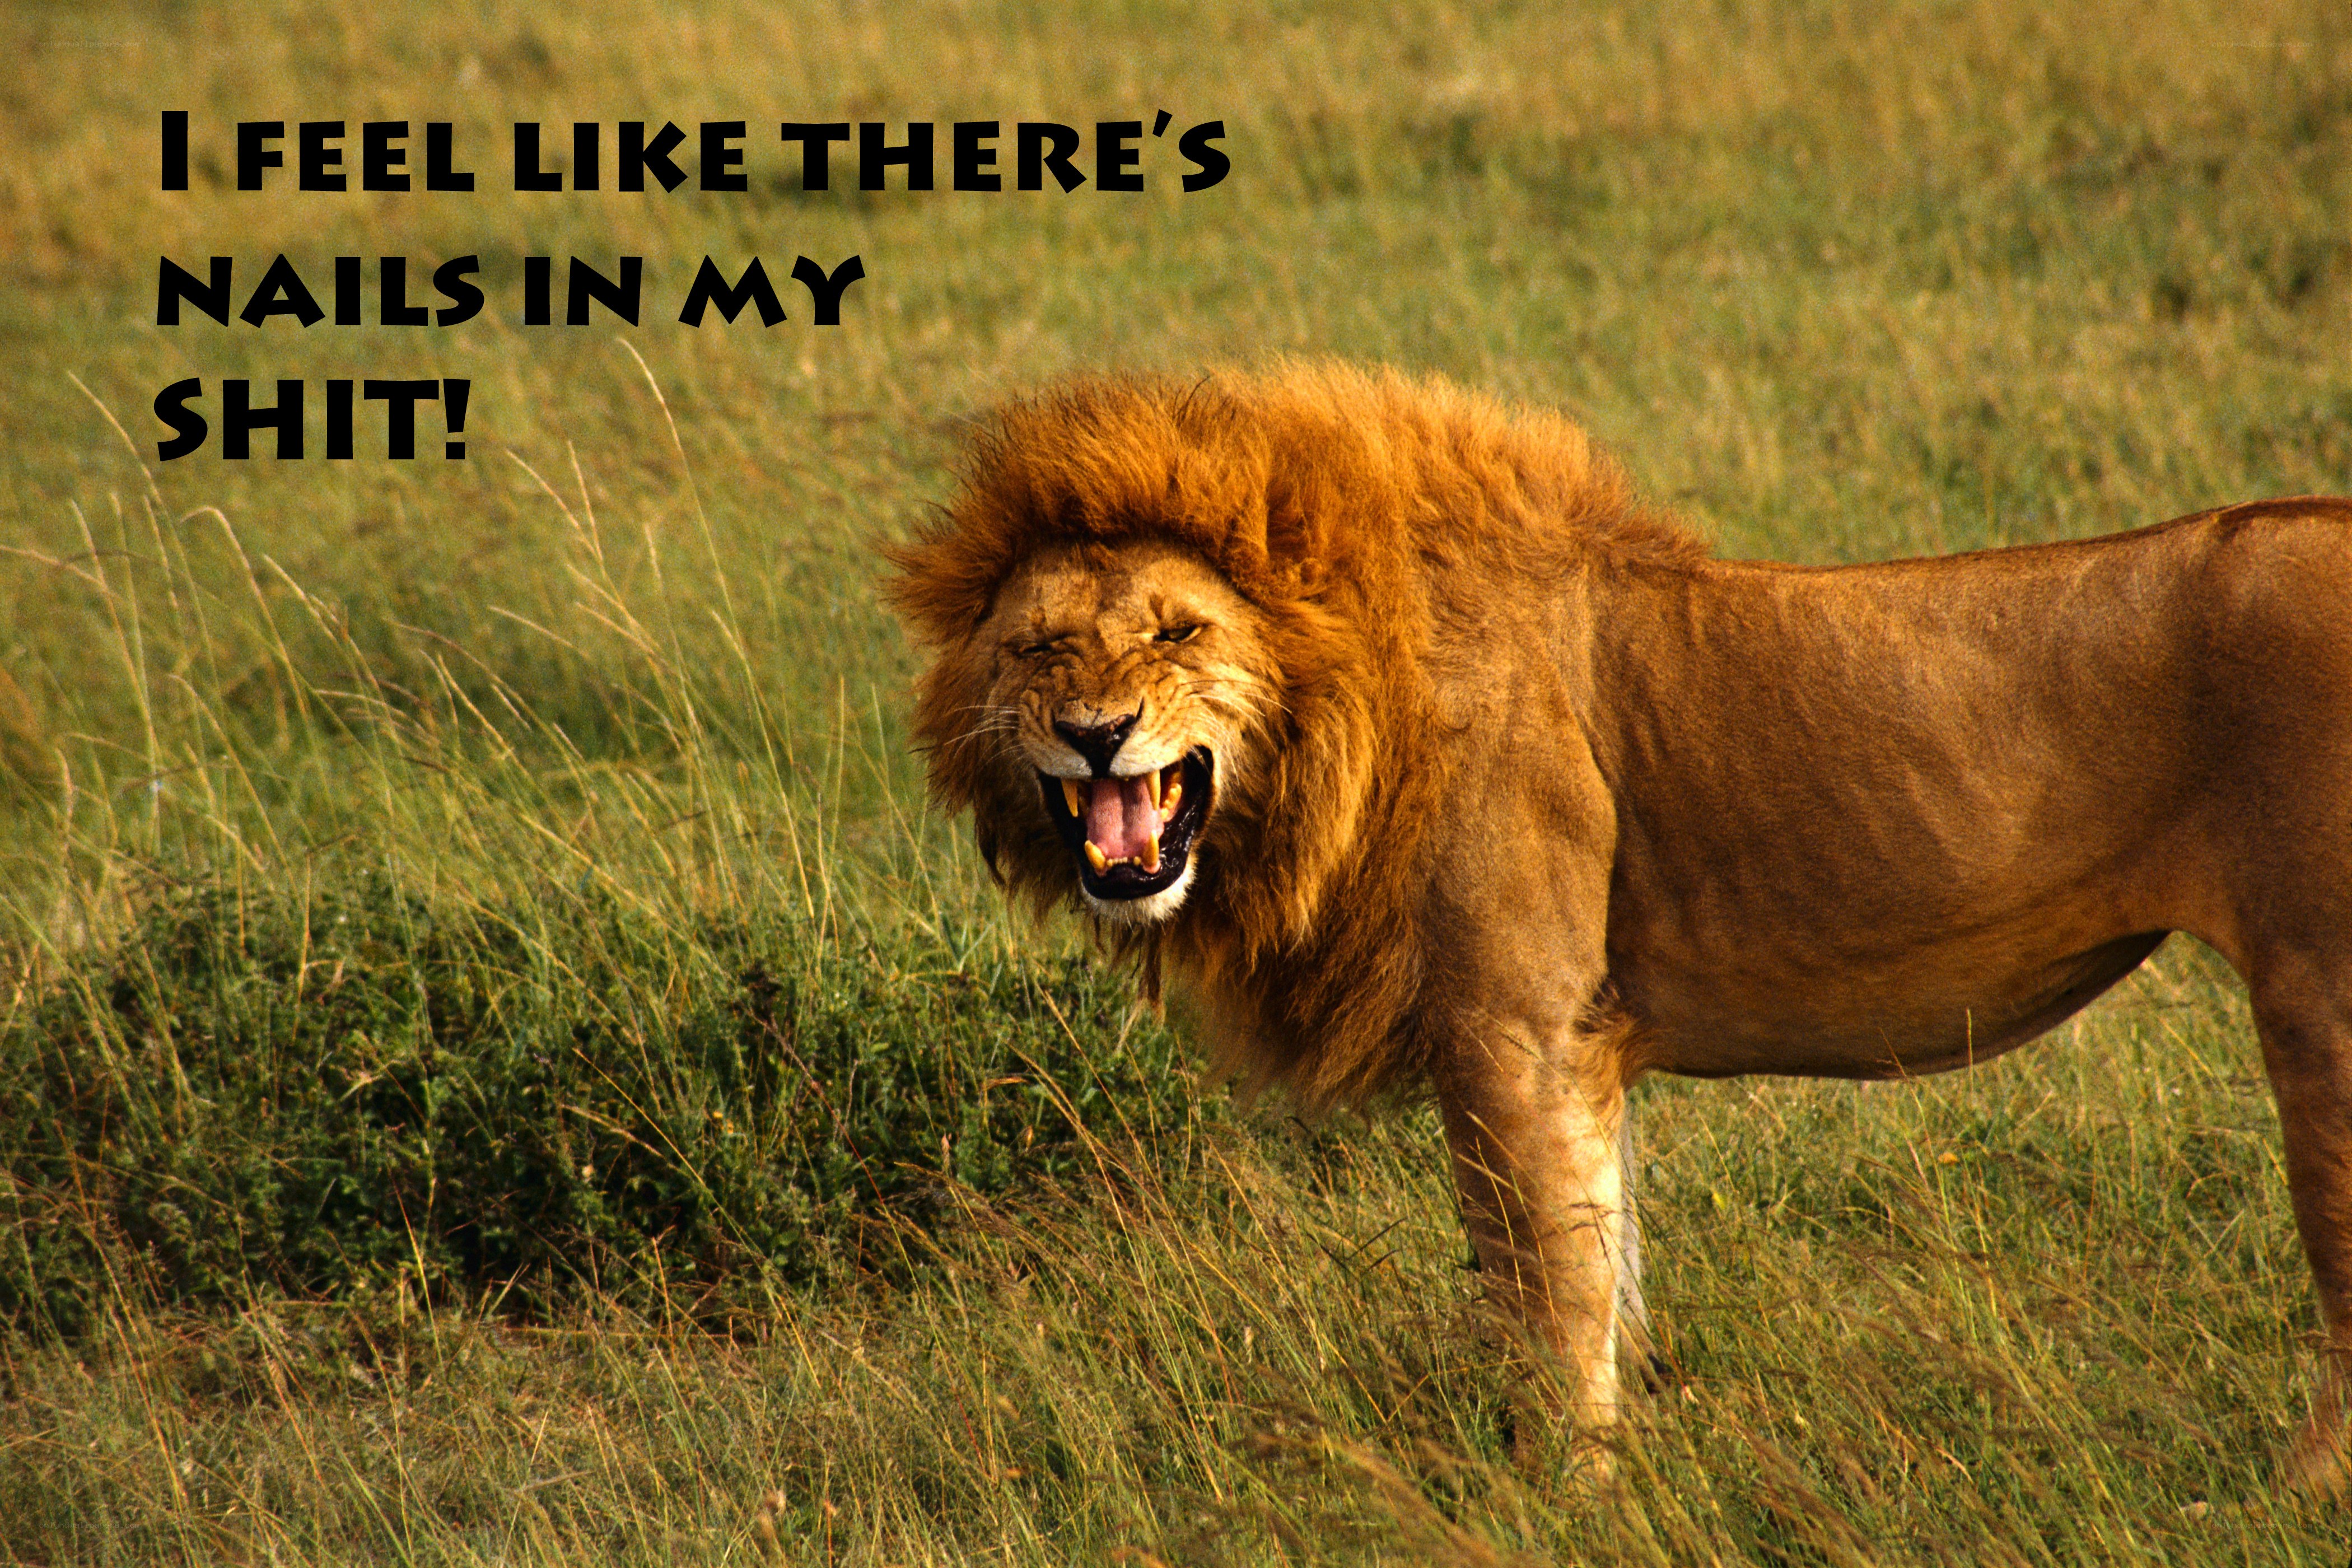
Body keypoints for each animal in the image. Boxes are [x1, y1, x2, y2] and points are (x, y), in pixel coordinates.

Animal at [887, 360, 2352, 1493]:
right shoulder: (1581, 1048)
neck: (1344, 721)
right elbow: (1609, 1266)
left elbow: (1546, 1292)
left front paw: (1561, 1495)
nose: (1096, 733)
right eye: (1040, 650)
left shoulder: (1513, 1032)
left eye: (1180, 632)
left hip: (2320, 1003)